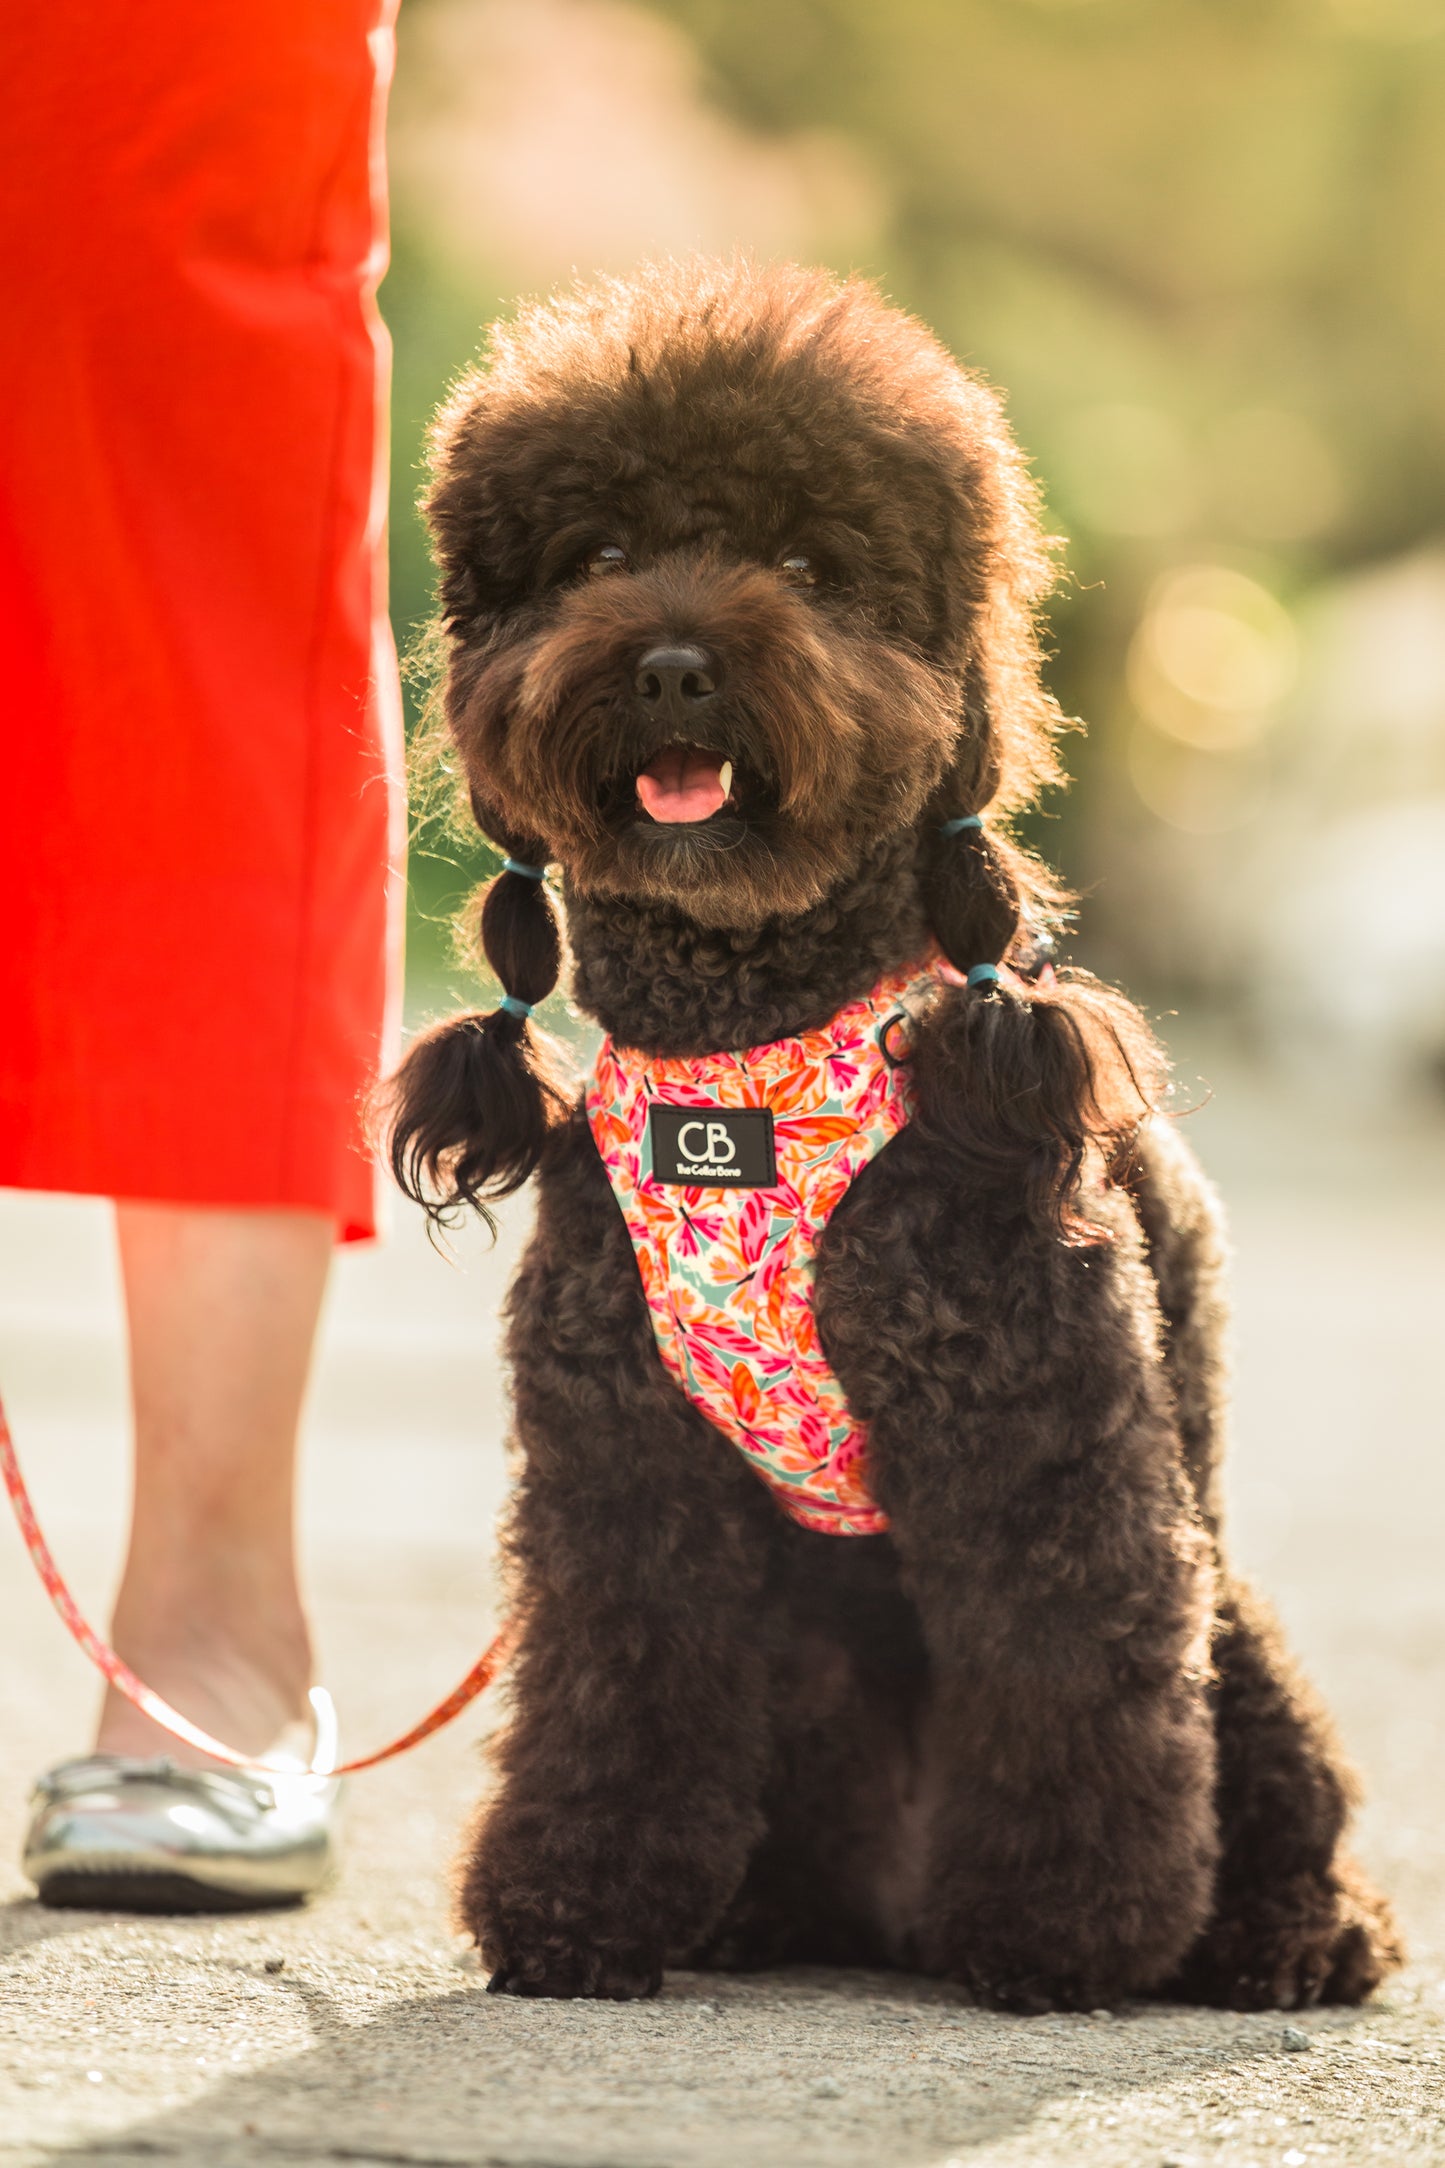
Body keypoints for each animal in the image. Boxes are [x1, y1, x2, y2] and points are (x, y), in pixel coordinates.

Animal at [383, 257, 1403, 2011]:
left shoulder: (1046, 1450)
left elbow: (1075, 1686)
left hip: (1232, 1622)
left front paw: (1067, 1937)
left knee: (1276, 1788)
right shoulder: (619, 1465)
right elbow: (615, 1685)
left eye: (808, 566)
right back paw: (763, 1914)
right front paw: (579, 1907)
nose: (672, 662)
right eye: (596, 558)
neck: (743, 1050)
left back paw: (1280, 1939)